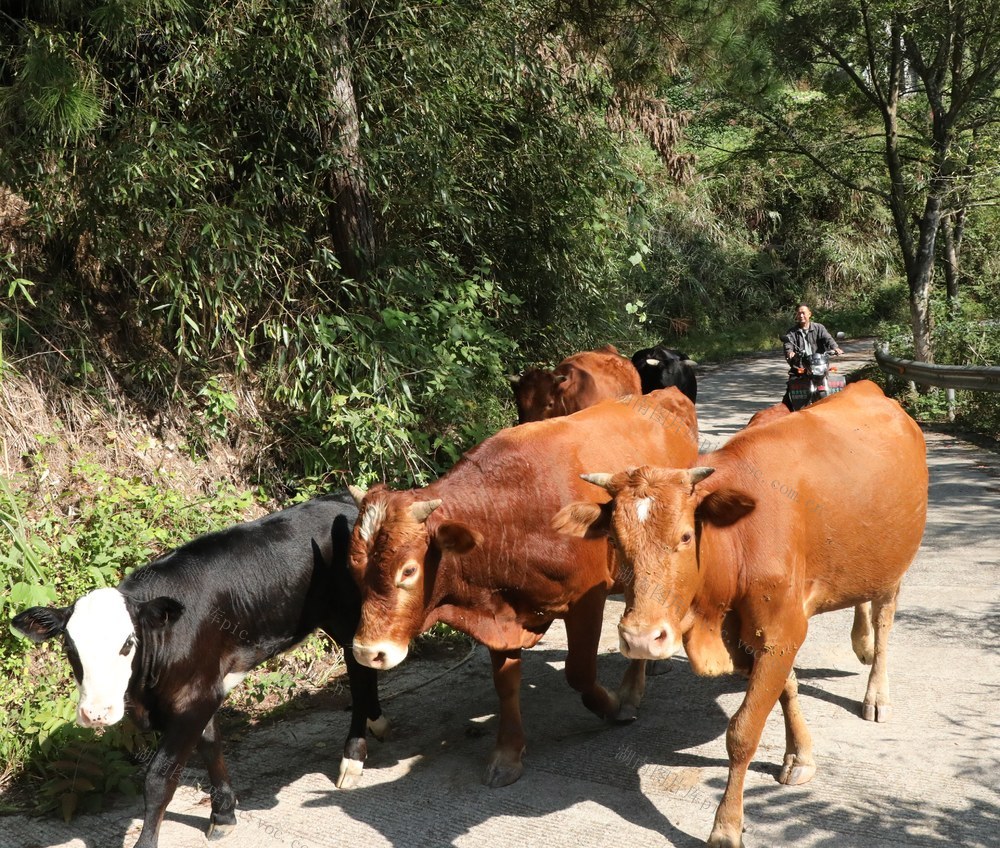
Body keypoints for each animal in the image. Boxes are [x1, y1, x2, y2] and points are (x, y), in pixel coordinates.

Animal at [12, 490, 386, 848]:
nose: (96, 713)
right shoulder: (203, 686)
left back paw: (353, 756)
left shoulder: (194, 697)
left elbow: (160, 778)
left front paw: (147, 841)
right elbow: (211, 747)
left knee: (359, 671)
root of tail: (344, 501)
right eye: (69, 647)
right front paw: (223, 815)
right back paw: (376, 722)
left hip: (351, 615)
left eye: (127, 644)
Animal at [348, 390, 700, 788]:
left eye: (408, 570)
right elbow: (506, 685)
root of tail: (663, 396)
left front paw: (611, 706)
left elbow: (580, 672)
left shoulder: (588, 598)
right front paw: (508, 753)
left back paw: (632, 688)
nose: (367, 652)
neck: (510, 518)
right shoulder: (500, 612)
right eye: (353, 567)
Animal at [552, 382, 924, 848]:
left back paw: (876, 690)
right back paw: (861, 643)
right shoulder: (759, 634)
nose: (639, 639)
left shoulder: (782, 630)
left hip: (896, 563)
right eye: (616, 541)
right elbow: (788, 688)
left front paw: (726, 826)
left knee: (884, 618)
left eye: (686, 536)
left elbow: (743, 732)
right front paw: (800, 754)